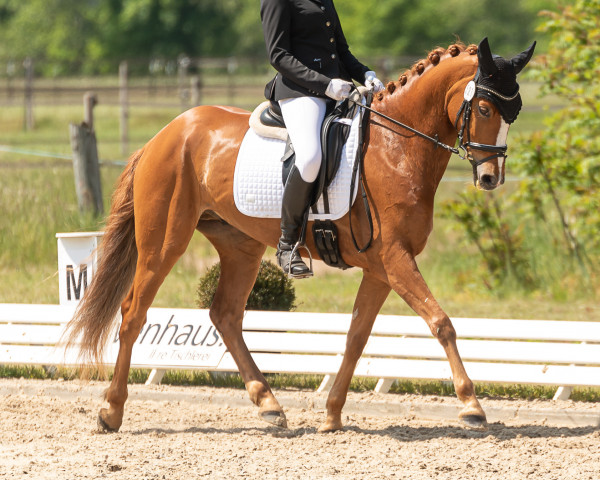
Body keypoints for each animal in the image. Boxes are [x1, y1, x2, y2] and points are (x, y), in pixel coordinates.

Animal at [65, 39, 536, 434]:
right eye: (485, 110)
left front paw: (331, 414)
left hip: (241, 245)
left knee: (226, 315)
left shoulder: (380, 268)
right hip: (164, 241)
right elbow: (441, 324)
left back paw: (269, 405)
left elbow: (356, 337)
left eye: (514, 112)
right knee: (133, 312)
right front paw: (471, 406)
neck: (396, 147)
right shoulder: (395, 258)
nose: (491, 178)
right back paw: (111, 411)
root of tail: (163, 135)